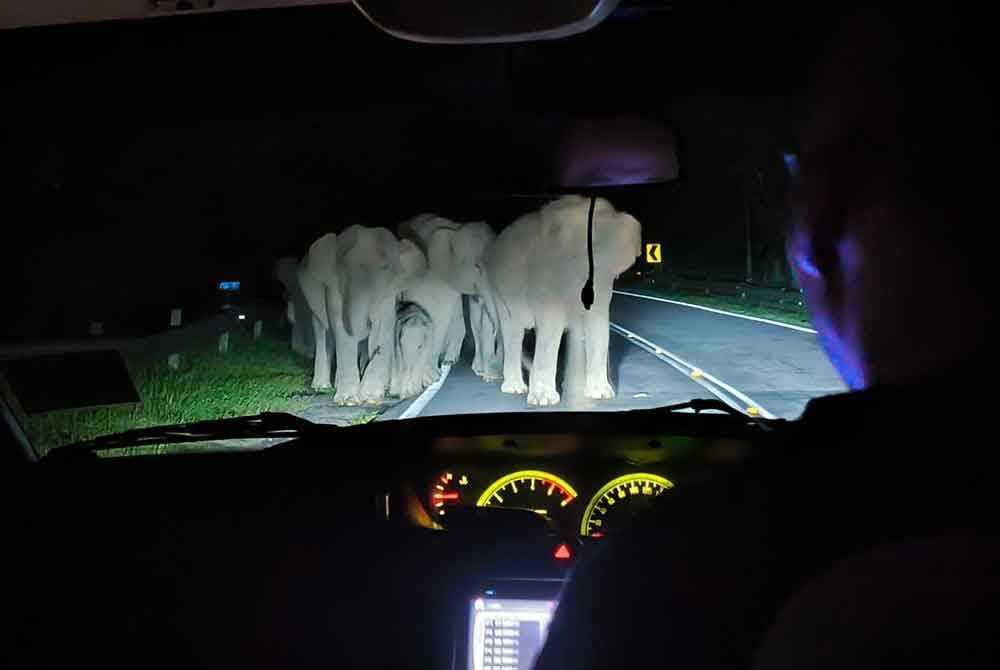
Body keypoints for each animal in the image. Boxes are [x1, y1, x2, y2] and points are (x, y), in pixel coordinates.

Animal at [294, 224, 424, 404]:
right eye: (342, 269)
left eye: (385, 268)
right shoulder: (334, 289)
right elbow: (341, 329)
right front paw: (348, 400)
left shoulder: (388, 294)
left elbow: (382, 326)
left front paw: (370, 398)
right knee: (322, 332)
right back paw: (323, 387)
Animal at [396, 215, 500, 384]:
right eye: (477, 266)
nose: (499, 376)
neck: (456, 231)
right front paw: (429, 379)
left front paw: (488, 376)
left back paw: (449, 360)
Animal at [482, 194, 640, 404]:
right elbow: (550, 329)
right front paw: (544, 400)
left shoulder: (602, 283)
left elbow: (598, 325)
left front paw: (601, 394)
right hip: (498, 289)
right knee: (511, 331)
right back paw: (514, 387)